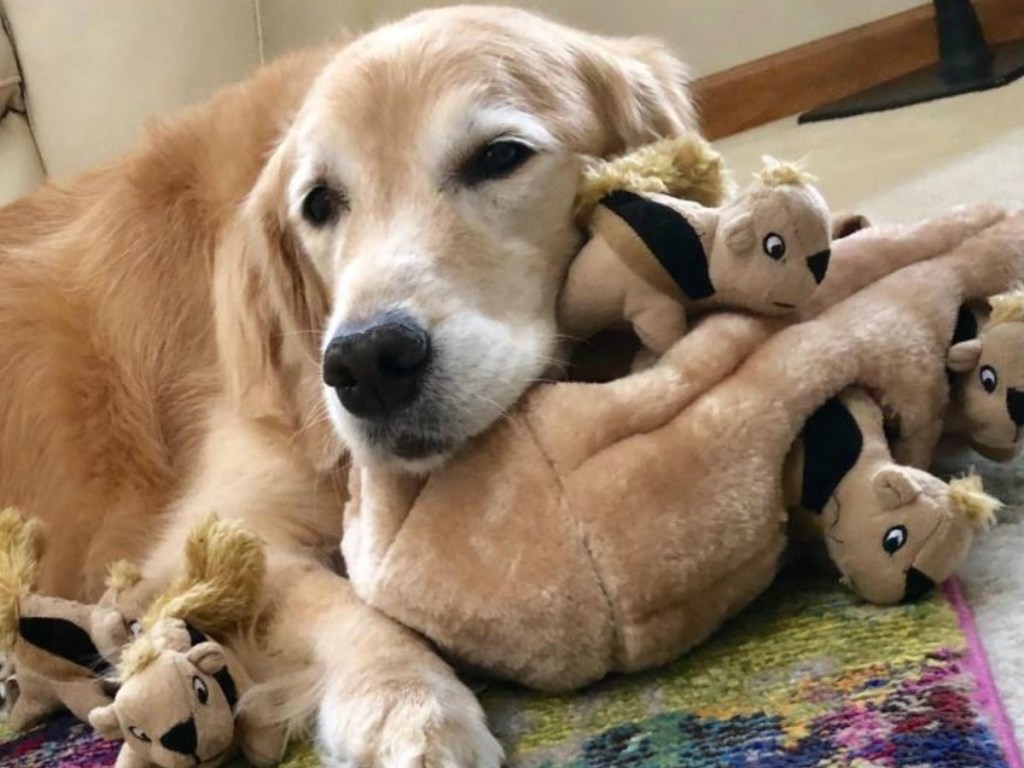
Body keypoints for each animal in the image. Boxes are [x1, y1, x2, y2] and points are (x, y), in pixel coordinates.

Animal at [0, 4, 696, 765]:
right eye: (320, 203)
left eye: (500, 157)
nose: (364, 365)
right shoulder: (212, 528)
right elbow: (328, 602)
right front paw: (406, 703)